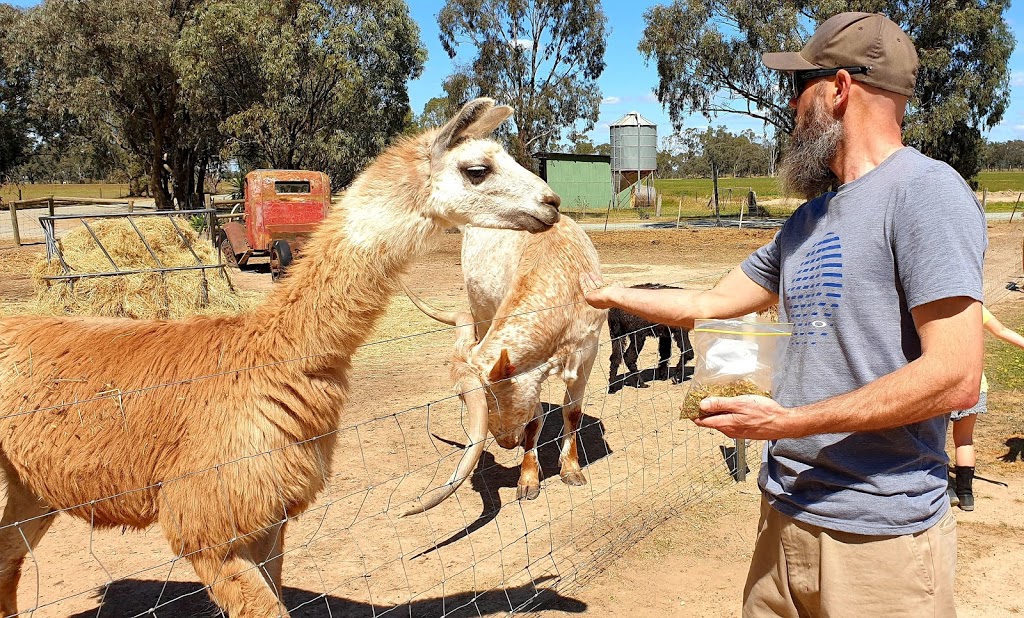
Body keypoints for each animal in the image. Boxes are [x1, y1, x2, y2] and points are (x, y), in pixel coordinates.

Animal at [0, 98, 561, 613]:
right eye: (477, 170)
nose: (552, 202)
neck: (274, 356)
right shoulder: (207, 527)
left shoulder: (270, 522)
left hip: (30, 495)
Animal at [401, 214, 606, 513]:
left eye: (492, 401)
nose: (507, 443)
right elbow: (535, 420)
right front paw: (529, 479)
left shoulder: (588, 352)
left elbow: (572, 412)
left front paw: (571, 469)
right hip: (480, 309)